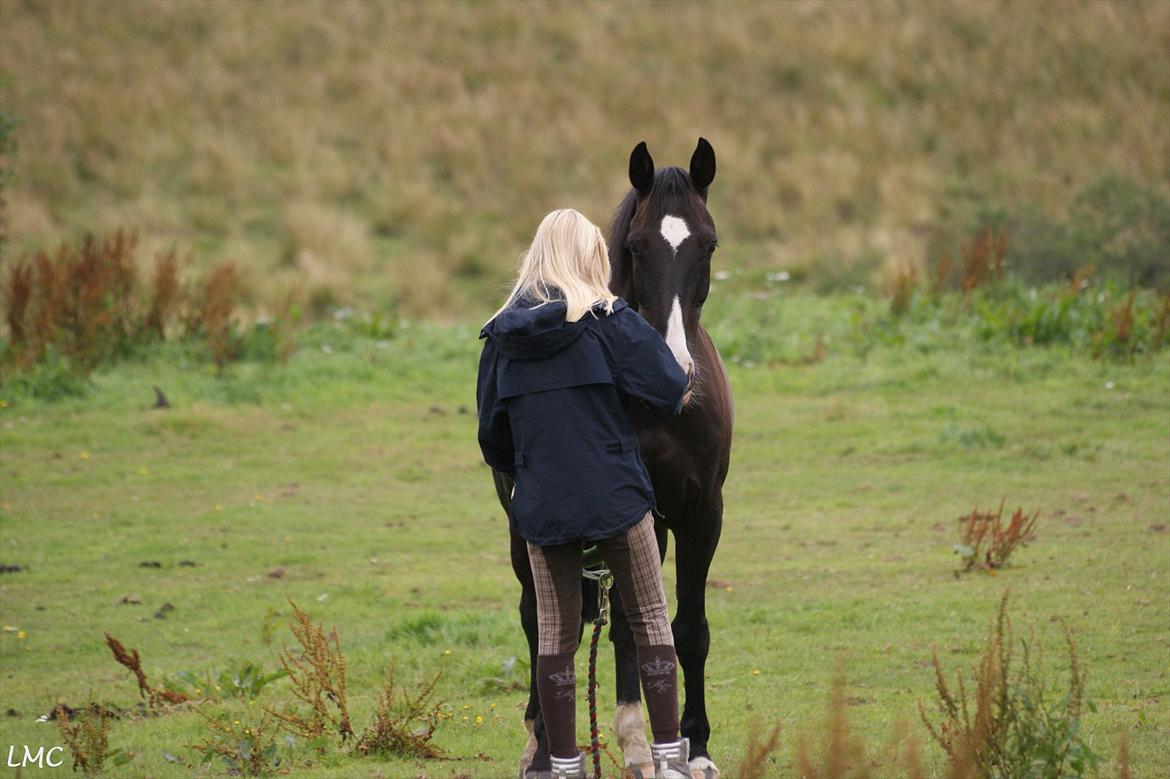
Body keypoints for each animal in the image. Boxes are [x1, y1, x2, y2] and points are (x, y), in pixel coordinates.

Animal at [491, 140, 730, 776]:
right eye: (637, 246)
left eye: (709, 243)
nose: (678, 370)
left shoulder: (700, 515)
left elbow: (685, 628)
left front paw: (694, 747)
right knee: (541, 621)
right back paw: (542, 746)